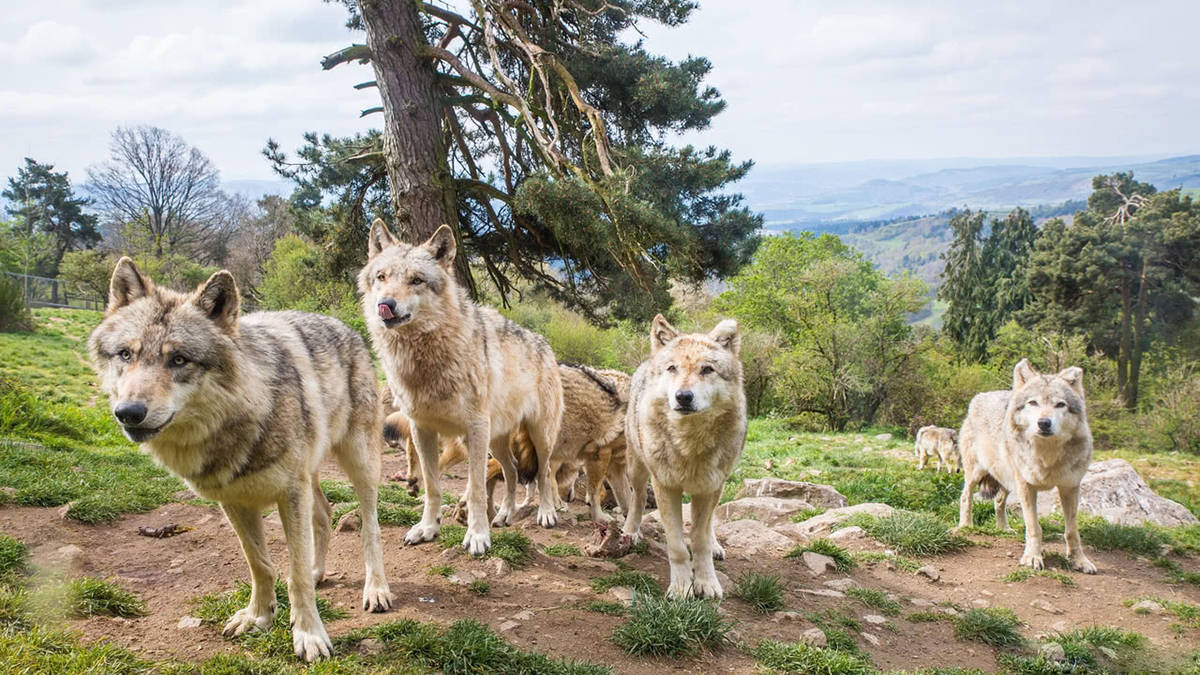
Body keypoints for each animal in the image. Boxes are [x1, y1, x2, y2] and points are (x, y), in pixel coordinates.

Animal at [87, 258, 393, 662]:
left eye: (179, 359)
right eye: (126, 354)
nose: (129, 413)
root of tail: (343, 326)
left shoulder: (289, 494)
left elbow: (293, 574)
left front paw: (309, 635)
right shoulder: (234, 501)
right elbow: (260, 564)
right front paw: (259, 617)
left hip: (359, 464)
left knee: (370, 528)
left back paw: (376, 590)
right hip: (310, 474)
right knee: (325, 514)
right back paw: (319, 572)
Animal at [357, 219, 564, 552]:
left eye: (416, 280)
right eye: (381, 277)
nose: (385, 304)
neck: (425, 361)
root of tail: (546, 345)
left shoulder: (474, 430)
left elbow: (476, 489)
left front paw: (477, 536)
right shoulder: (422, 430)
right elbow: (432, 486)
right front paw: (428, 528)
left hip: (538, 435)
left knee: (543, 473)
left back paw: (545, 513)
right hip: (498, 440)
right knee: (512, 470)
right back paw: (505, 515)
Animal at [624, 312, 744, 595]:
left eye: (707, 369)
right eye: (672, 368)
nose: (683, 397)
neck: (689, 445)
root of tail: (646, 362)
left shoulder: (710, 487)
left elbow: (699, 540)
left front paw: (706, 582)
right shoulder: (666, 486)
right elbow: (677, 545)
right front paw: (681, 588)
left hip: (718, 485)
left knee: (709, 524)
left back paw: (716, 546)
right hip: (637, 469)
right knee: (636, 500)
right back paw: (630, 532)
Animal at [955, 357, 1099, 571]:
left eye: (1060, 405)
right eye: (1033, 402)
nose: (1044, 423)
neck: (1046, 455)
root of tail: (981, 396)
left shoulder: (1070, 487)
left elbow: (1072, 531)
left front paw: (1079, 561)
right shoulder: (1026, 485)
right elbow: (1034, 527)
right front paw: (1033, 557)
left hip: (1007, 480)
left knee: (998, 502)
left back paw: (1003, 529)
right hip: (978, 473)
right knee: (965, 496)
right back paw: (965, 525)